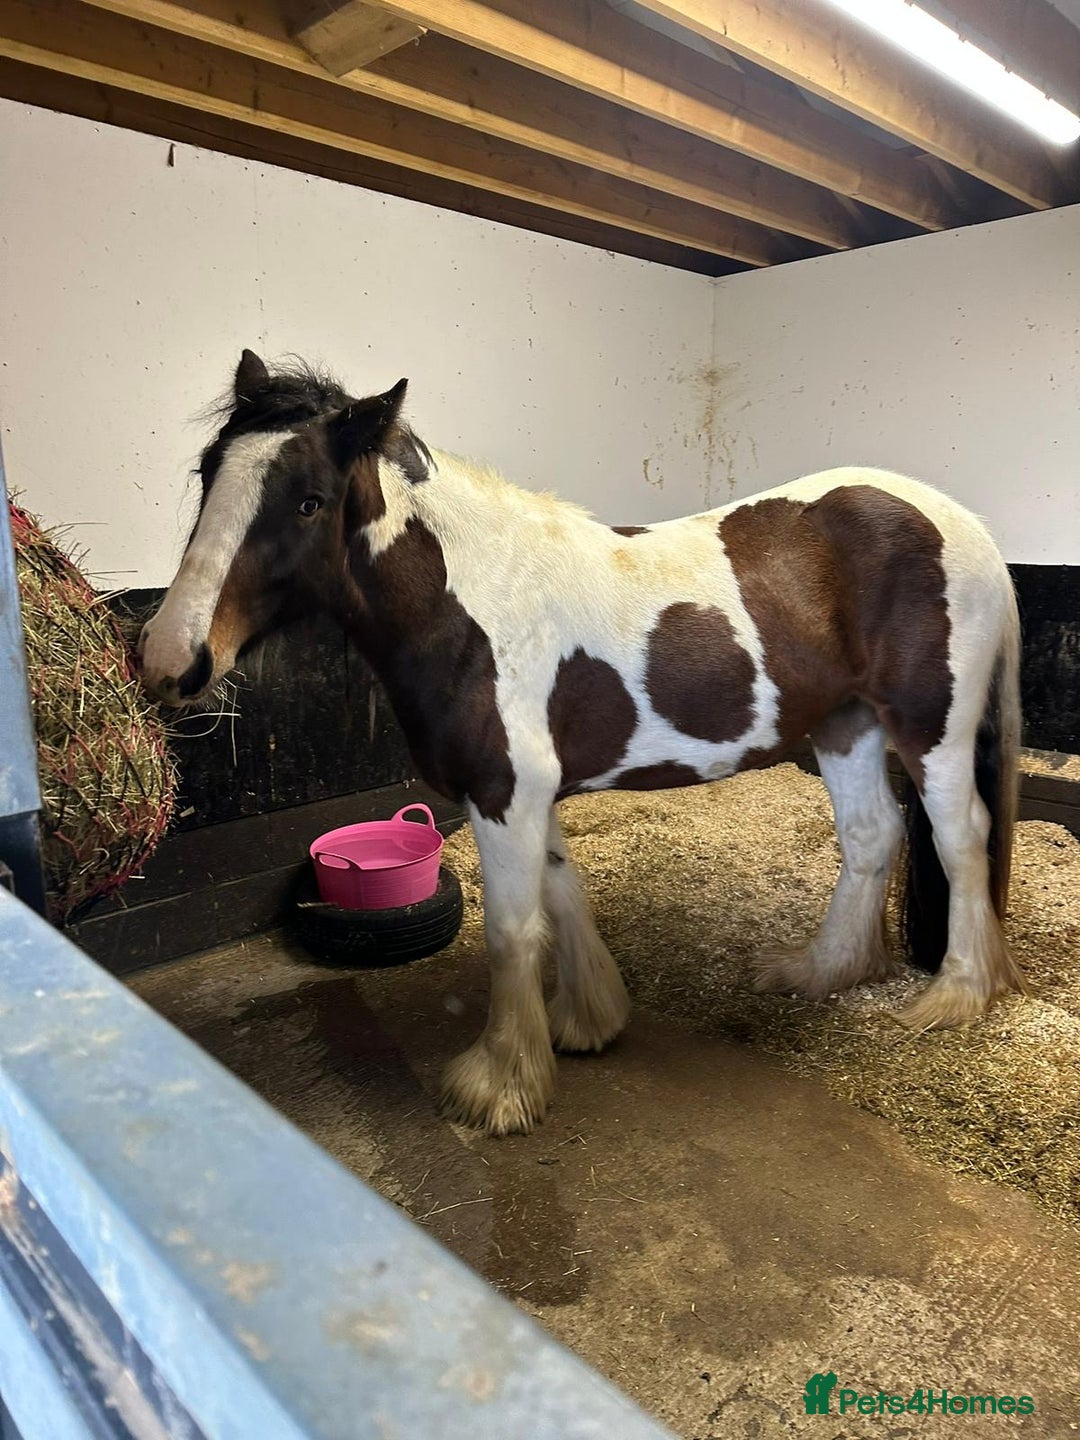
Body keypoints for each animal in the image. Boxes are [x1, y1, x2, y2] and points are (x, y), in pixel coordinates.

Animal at [140, 350, 1027, 1135]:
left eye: (309, 501)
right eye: (207, 474)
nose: (170, 658)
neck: (472, 604)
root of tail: (969, 527)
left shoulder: (505, 791)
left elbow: (510, 932)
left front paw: (499, 1087)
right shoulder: (528, 794)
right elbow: (560, 899)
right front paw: (586, 1022)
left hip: (931, 729)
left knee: (960, 837)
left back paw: (956, 995)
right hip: (845, 722)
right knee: (873, 836)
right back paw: (819, 972)